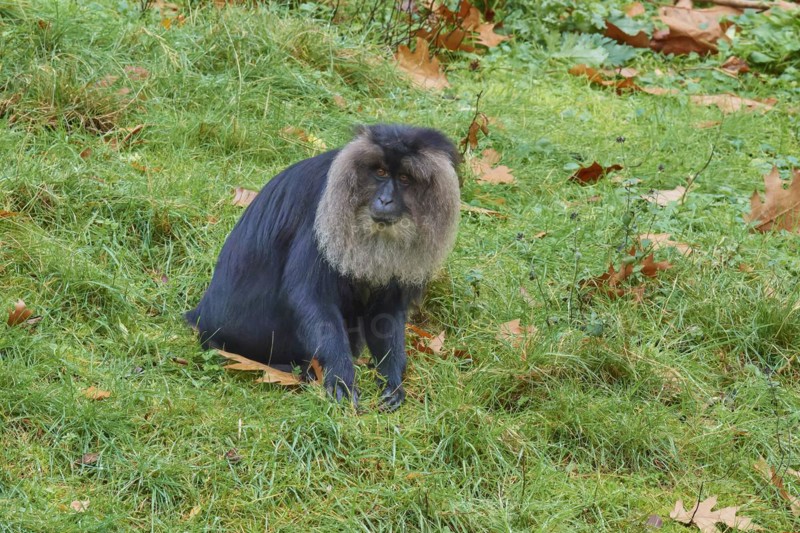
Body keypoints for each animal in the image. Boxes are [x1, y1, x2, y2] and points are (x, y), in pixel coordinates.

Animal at [185, 124, 460, 410]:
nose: (385, 200)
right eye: (381, 172)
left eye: (405, 178)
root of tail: (202, 318)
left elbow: (386, 311)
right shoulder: (321, 213)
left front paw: (392, 381)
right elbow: (312, 296)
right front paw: (341, 377)